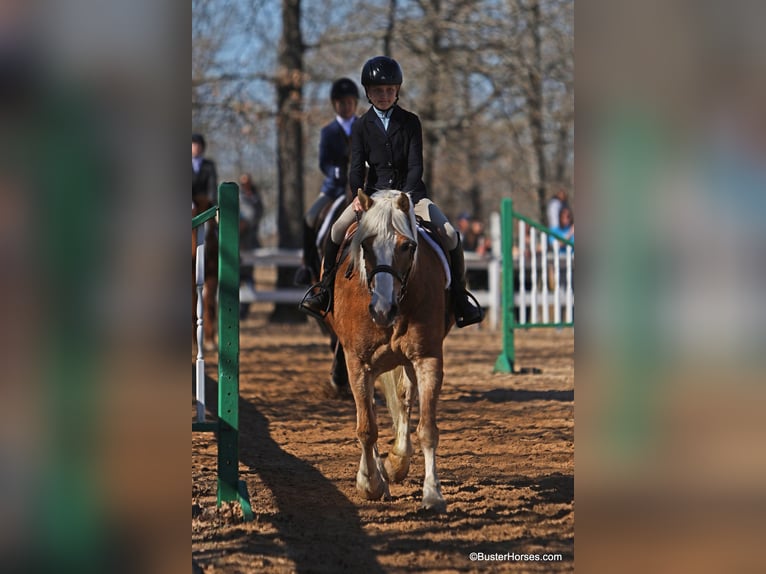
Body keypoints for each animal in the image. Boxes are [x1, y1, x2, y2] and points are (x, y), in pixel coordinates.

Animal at [326, 190, 456, 512]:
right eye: (365, 245)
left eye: (407, 246)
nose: (382, 310)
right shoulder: (357, 363)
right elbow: (366, 428)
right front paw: (370, 484)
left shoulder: (427, 359)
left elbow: (427, 428)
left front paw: (432, 494)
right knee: (371, 412)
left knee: (404, 398)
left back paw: (397, 461)